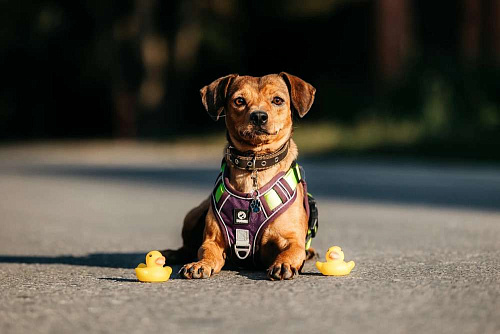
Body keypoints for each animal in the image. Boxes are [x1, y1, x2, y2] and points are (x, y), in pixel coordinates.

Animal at [164, 72, 316, 280]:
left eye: (277, 100)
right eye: (239, 101)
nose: (259, 116)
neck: (255, 165)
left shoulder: (292, 239)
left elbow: (292, 250)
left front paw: (283, 263)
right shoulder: (213, 240)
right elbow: (205, 251)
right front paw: (200, 264)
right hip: (192, 215)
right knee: (187, 247)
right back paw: (171, 254)